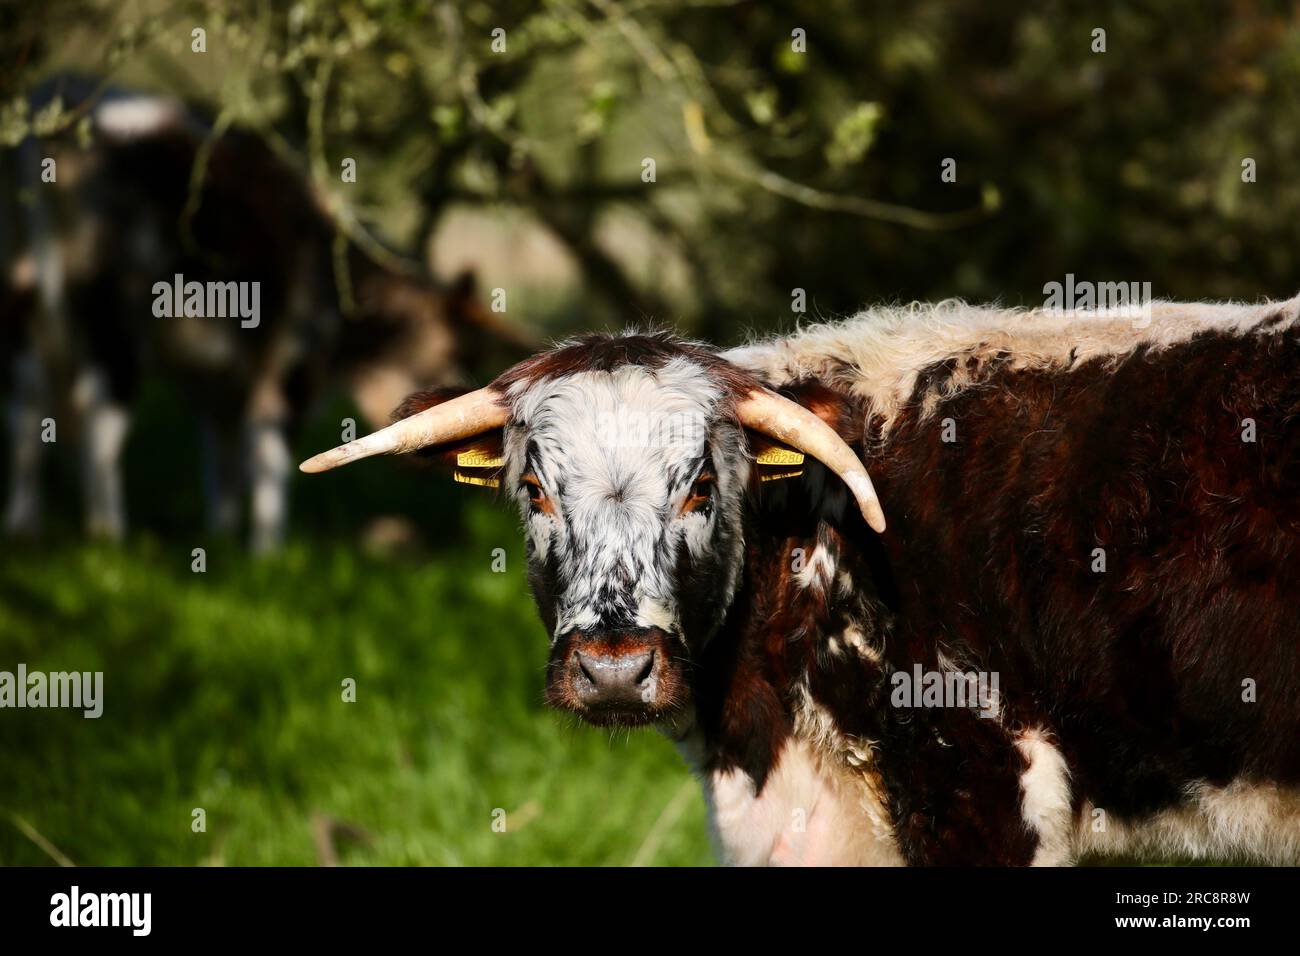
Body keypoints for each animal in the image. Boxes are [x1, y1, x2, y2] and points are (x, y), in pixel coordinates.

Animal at [3, 72, 527, 554]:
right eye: (456, 358)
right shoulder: (291, 364)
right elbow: (272, 459)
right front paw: (267, 555)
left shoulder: (217, 382)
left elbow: (224, 463)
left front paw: (221, 543)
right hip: (112, 318)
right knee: (100, 423)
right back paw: (109, 540)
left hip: (25, 303)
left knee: (29, 407)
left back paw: (25, 529)